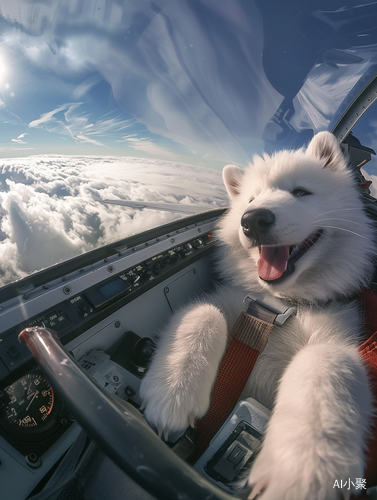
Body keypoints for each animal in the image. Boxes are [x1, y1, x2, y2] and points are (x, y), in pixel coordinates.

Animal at [139, 131, 376, 498]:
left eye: (301, 192)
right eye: (250, 199)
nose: (252, 220)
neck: (282, 303)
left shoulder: (337, 337)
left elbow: (324, 361)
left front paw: (305, 464)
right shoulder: (229, 303)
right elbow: (203, 312)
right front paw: (174, 390)